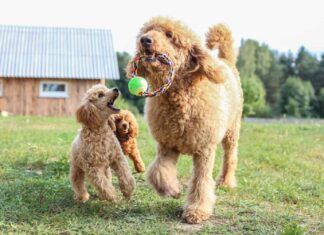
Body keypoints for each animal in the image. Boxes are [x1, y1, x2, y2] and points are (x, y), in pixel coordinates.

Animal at [126, 17, 243, 224]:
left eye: (170, 35)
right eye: (148, 30)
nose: (145, 40)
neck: (179, 96)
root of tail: (226, 61)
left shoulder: (204, 149)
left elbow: (201, 181)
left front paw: (197, 211)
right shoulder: (167, 144)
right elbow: (158, 170)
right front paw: (172, 190)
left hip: (232, 130)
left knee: (230, 158)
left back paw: (226, 182)